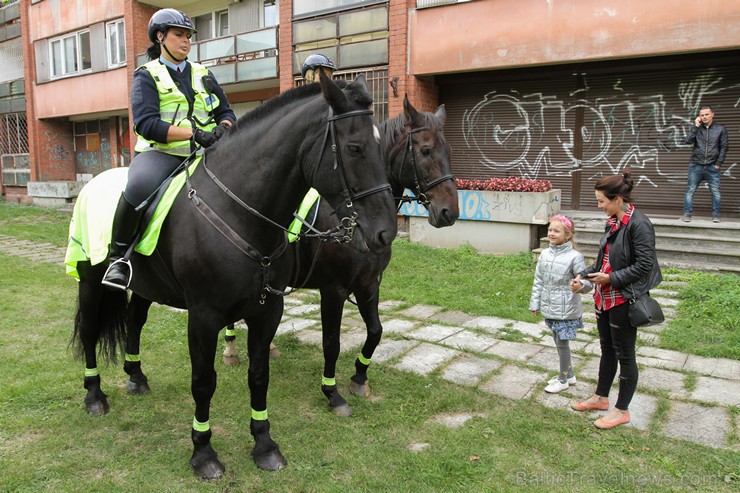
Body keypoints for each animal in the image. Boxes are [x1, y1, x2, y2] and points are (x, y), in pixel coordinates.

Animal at [68, 73, 398, 476]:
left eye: (382, 147)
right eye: (354, 148)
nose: (385, 232)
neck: (239, 210)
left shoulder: (267, 312)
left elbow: (259, 376)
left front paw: (264, 444)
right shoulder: (204, 317)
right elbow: (203, 382)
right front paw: (203, 452)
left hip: (146, 286)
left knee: (134, 320)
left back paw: (136, 377)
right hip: (89, 279)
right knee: (89, 331)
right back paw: (94, 395)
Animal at [214, 94, 456, 414]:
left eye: (448, 150)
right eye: (426, 150)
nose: (449, 211)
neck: (356, 222)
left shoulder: (368, 285)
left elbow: (376, 331)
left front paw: (360, 376)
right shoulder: (333, 290)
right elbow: (331, 343)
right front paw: (332, 392)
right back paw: (230, 349)